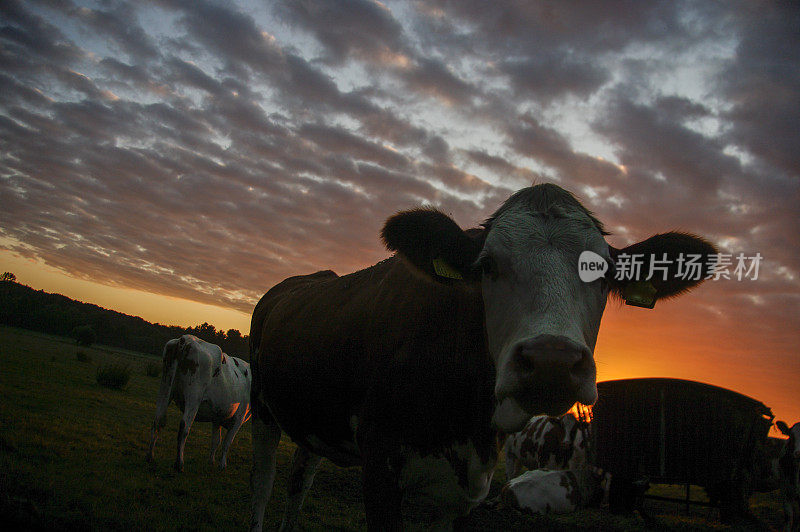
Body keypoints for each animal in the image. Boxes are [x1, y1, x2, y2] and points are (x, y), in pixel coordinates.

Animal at [147, 334, 252, 472]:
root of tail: (186, 339)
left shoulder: (217, 417)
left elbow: (216, 441)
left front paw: (211, 461)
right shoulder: (239, 418)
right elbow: (227, 443)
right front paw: (222, 465)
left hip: (165, 386)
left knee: (158, 419)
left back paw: (150, 457)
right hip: (194, 395)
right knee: (184, 426)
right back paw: (179, 464)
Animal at [245, 184, 712, 532]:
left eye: (602, 273)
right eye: (486, 265)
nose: (552, 361)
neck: (467, 418)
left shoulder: (461, 495)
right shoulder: (380, 466)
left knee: (299, 480)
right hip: (262, 407)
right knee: (263, 487)